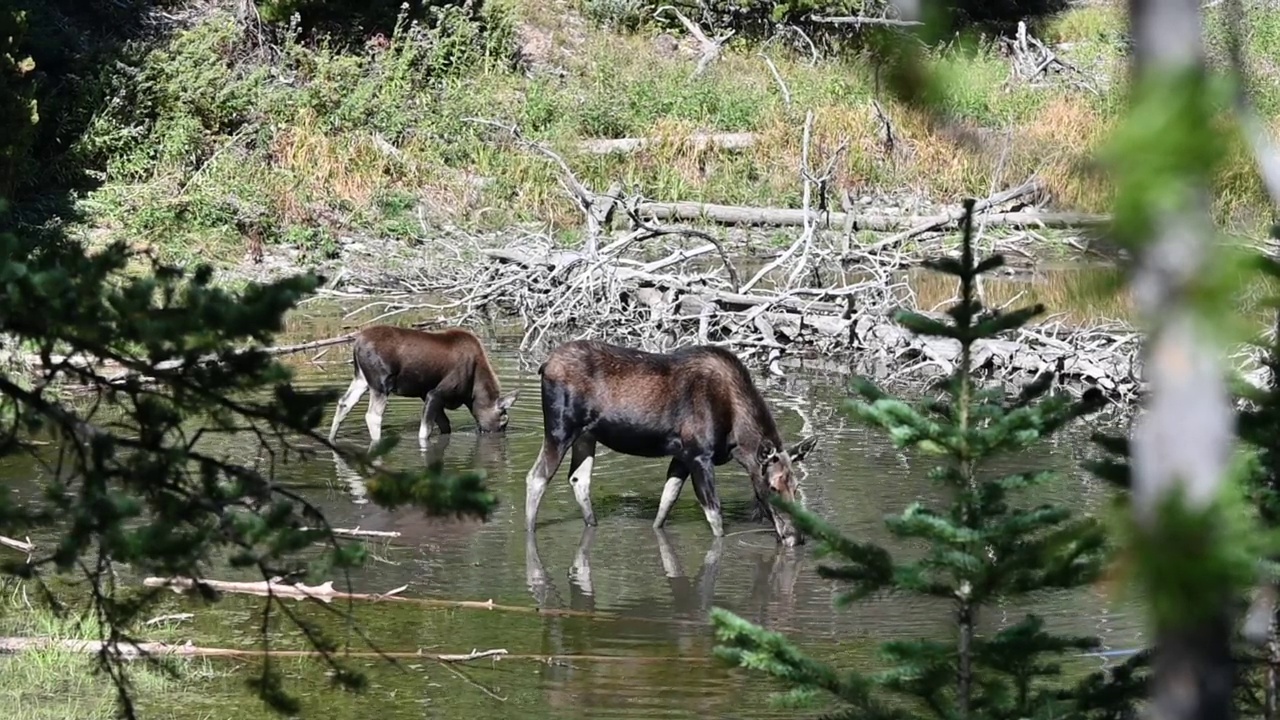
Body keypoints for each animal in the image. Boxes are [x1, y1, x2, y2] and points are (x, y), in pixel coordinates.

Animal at [330, 324, 519, 443]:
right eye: (504, 420)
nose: (499, 435)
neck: (472, 394)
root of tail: (356, 345)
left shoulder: (426, 394)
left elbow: (445, 425)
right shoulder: (435, 393)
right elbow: (425, 431)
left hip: (361, 378)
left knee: (344, 402)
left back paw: (331, 438)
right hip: (381, 383)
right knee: (373, 415)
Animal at [522, 338, 814, 545]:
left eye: (796, 487)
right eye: (773, 486)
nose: (796, 537)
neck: (737, 439)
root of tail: (544, 365)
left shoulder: (682, 456)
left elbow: (666, 502)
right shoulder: (699, 456)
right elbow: (715, 517)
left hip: (586, 436)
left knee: (579, 479)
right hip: (560, 429)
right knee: (537, 476)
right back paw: (529, 530)